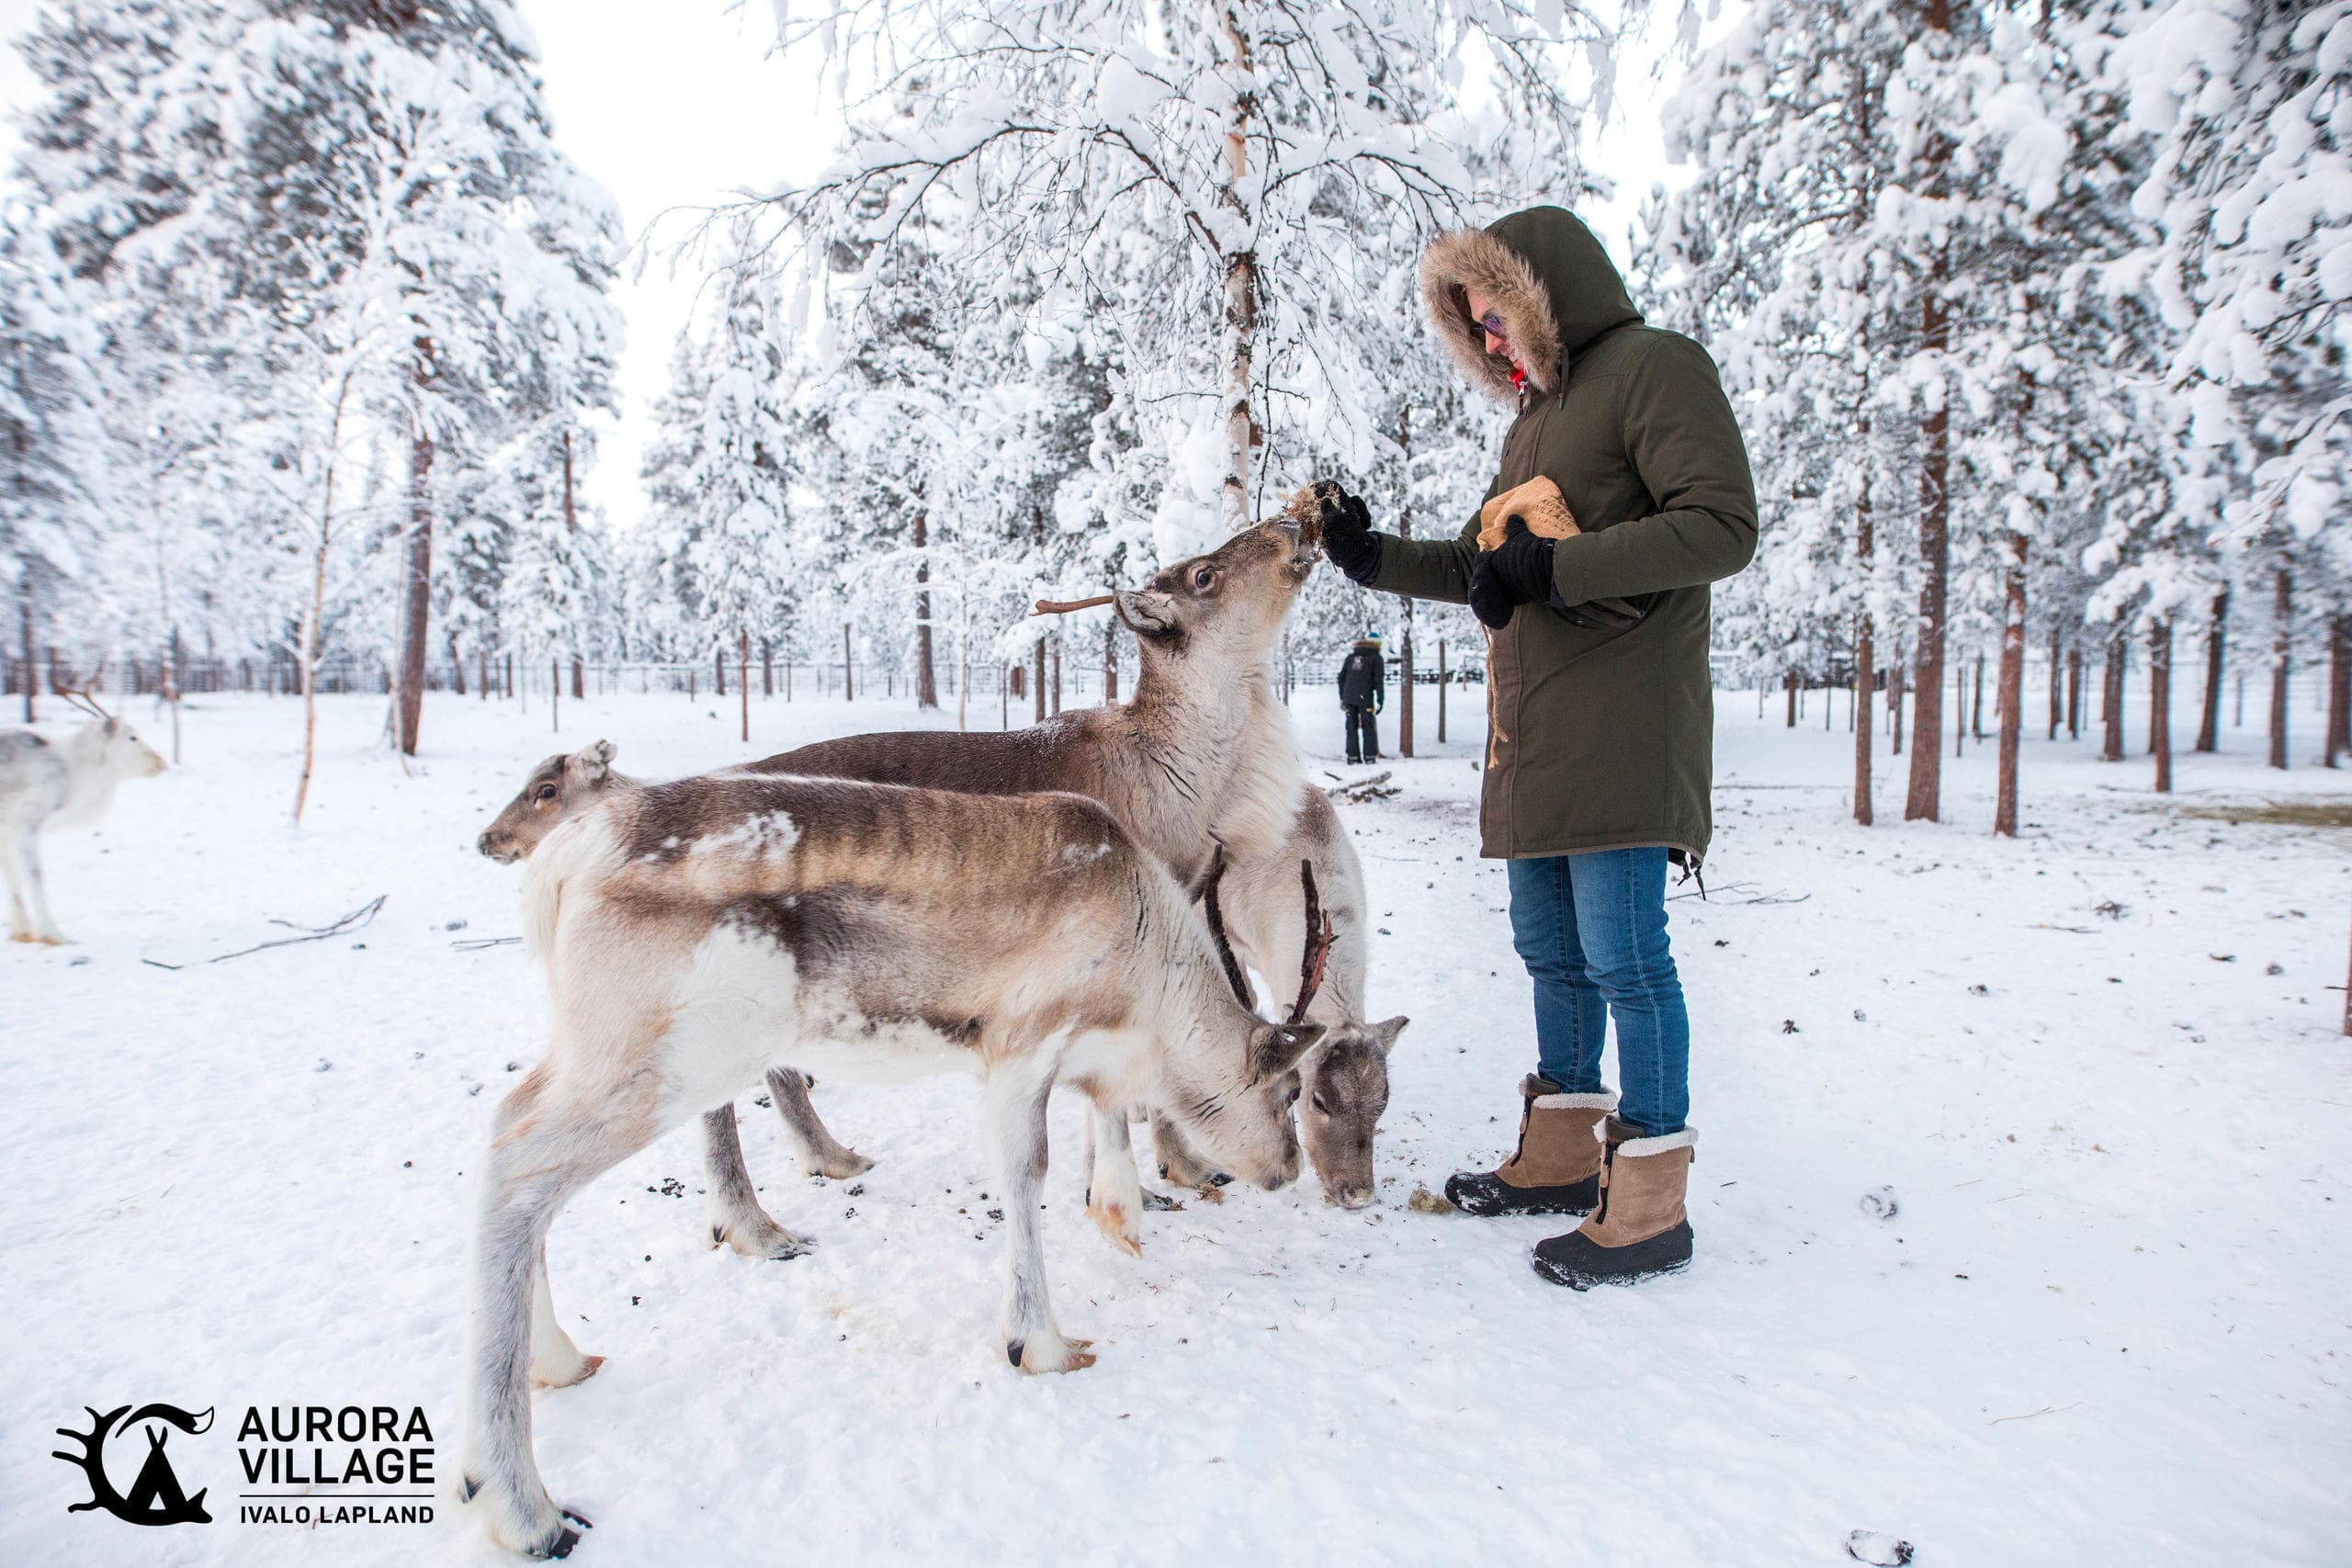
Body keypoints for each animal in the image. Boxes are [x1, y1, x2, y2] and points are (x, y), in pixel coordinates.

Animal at [1, 671, 166, 945]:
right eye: (132, 737)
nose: (161, 762)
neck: (80, 772)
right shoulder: (27, 823)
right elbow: (34, 877)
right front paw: (54, 934)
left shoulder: (7, 832)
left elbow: (12, 877)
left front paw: (23, 932)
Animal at [458, 771, 1323, 1558]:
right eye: (1289, 1091)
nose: (1287, 1170)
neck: (1146, 990)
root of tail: (561, 862)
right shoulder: (1021, 1043)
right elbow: (1026, 1171)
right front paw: (1040, 1342)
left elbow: (1107, 1130)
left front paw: (1122, 1217)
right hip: (663, 1058)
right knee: (517, 1163)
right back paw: (521, 1503)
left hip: (595, 1052)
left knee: (507, 1123)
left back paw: (558, 1359)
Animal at [479, 516, 1405, 1246]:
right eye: (1204, 573)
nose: (1293, 523)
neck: (1186, 775)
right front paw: (1163, 1174)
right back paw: (753, 1223)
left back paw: (826, 1159)